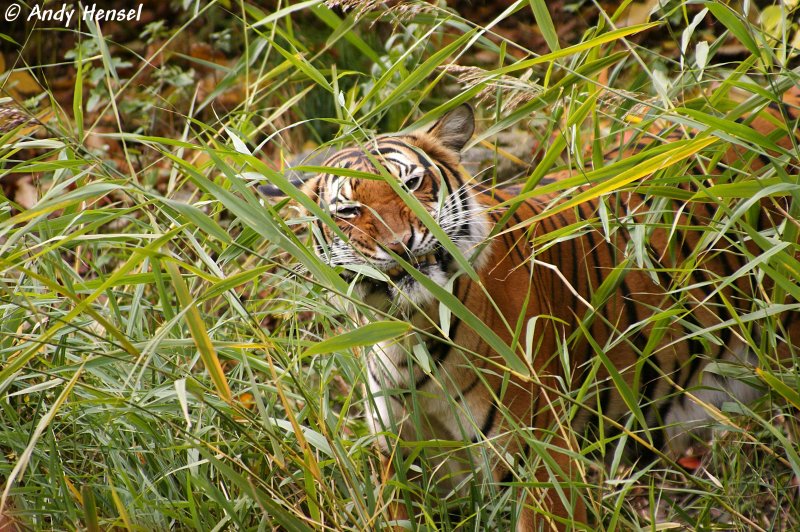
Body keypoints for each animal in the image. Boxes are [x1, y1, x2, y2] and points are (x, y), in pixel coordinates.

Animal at [260, 85, 800, 528]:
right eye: (350, 211)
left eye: (411, 184)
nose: (401, 245)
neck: (404, 330)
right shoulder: (399, 456)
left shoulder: (540, 458)